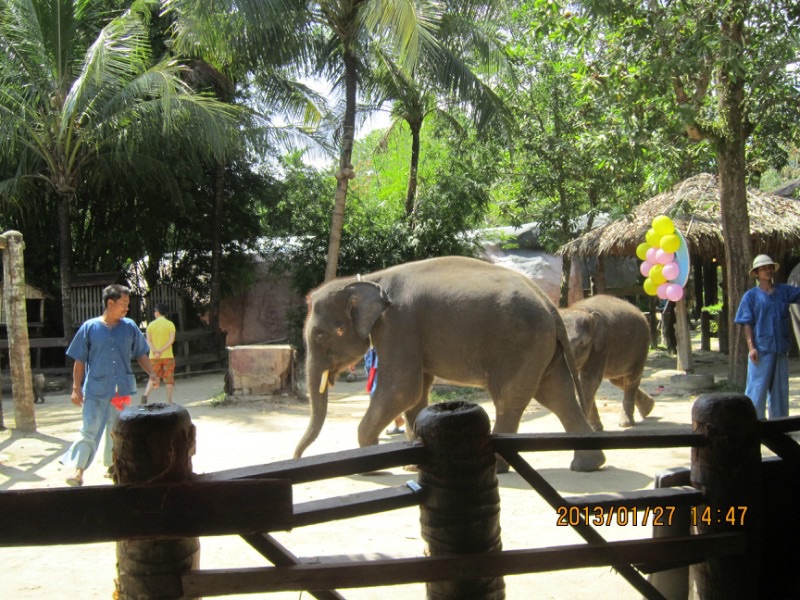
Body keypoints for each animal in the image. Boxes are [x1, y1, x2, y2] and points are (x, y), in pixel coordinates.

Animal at [296, 255, 604, 472]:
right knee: (557, 395)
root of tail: (550, 305)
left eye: (324, 334)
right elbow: (417, 393)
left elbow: (400, 389)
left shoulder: (398, 324)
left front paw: (371, 462)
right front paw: (412, 464)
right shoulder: (409, 332)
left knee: (511, 399)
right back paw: (588, 465)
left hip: (521, 343)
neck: (372, 279)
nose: (296, 456)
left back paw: (499, 467)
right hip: (544, 347)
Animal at [560, 294, 652, 426]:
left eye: (581, 343)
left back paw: (626, 423)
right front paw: (596, 427)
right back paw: (649, 408)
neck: (580, 309)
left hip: (642, 345)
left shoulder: (602, 343)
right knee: (618, 381)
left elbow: (590, 379)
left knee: (631, 379)